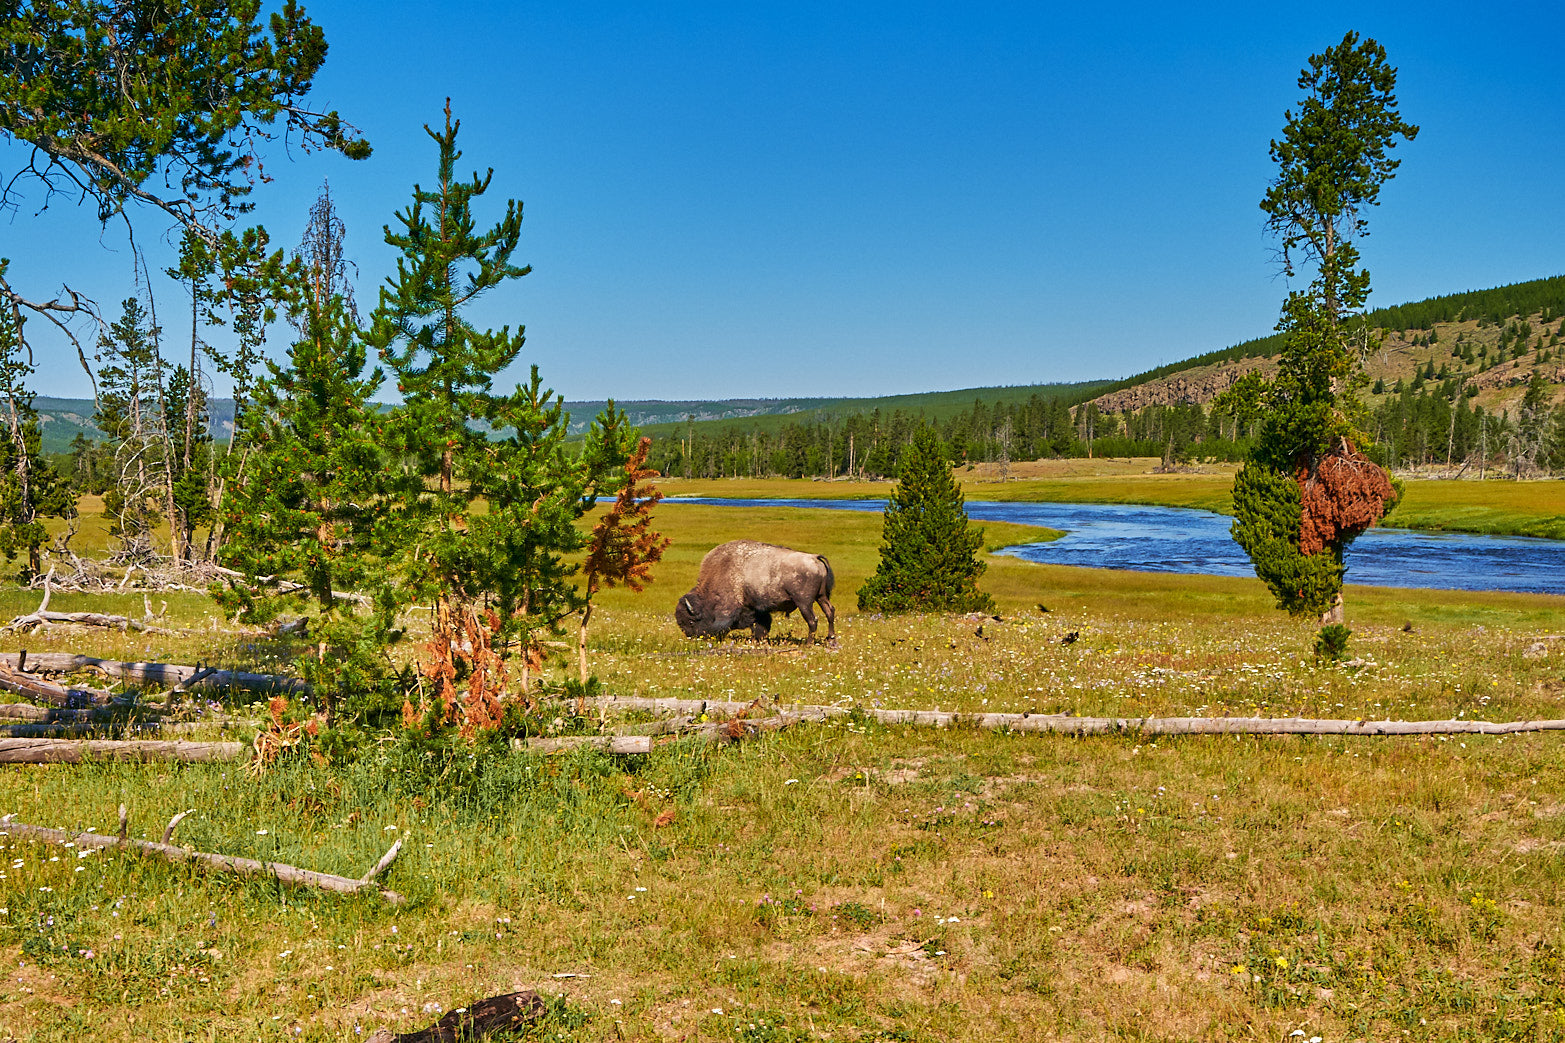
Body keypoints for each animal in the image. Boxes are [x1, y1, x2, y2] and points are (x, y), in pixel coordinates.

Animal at [674, 540, 837, 645]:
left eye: (691, 621)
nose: (691, 637)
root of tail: (814, 557)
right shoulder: (756, 609)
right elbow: (760, 625)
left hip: (804, 602)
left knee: (813, 620)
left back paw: (809, 643)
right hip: (821, 597)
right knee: (830, 612)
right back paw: (831, 639)